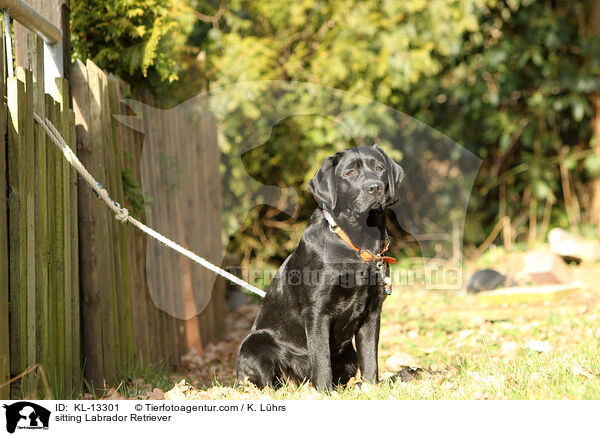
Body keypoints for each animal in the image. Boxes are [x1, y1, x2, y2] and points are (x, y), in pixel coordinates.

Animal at [234, 145, 404, 390]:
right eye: (350, 173)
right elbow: (322, 359)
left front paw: (371, 389)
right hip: (254, 345)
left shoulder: (373, 311)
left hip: (349, 356)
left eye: (380, 168)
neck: (357, 243)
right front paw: (324, 392)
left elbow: (371, 358)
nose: (374, 187)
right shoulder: (317, 311)